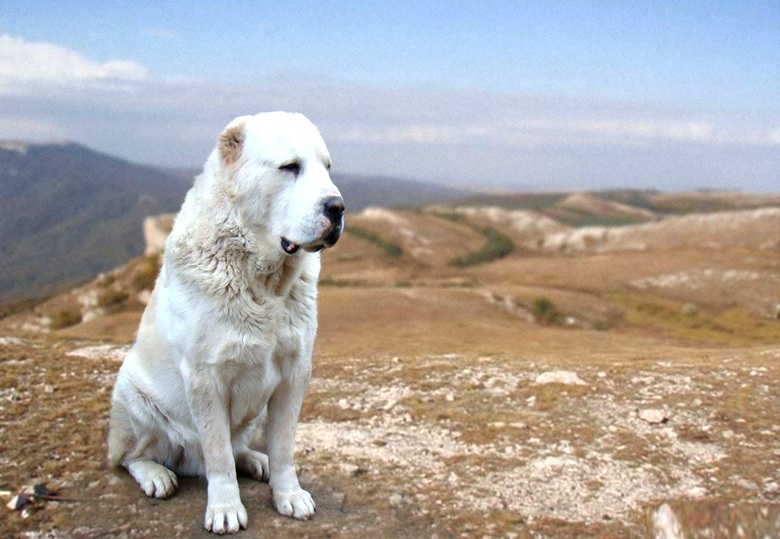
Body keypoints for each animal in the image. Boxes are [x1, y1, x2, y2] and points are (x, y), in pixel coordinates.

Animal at [107, 112, 344, 532]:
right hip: (132, 395)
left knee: (238, 448)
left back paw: (254, 460)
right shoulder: (205, 378)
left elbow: (283, 446)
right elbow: (217, 455)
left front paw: (288, 493)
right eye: (290, 167)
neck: (264, 283)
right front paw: (225, 508)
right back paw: (156, 475)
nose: (338, 207)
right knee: (130, 457)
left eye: (327, 168)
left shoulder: (294, 373)